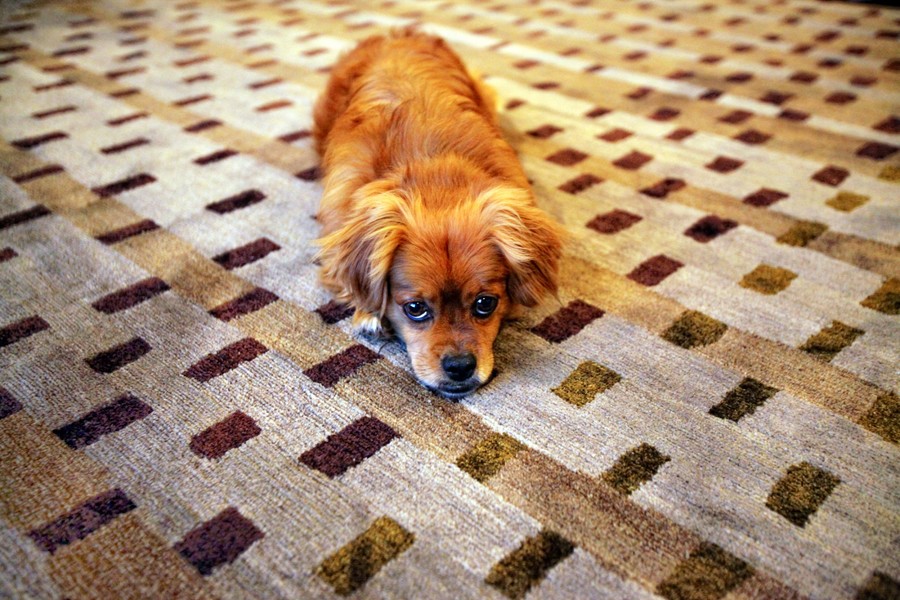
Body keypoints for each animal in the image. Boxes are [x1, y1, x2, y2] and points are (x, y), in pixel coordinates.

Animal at [312, 30, 560, 400]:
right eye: (415, 309)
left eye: (486, 303)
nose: (460, 366)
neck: (433, 169)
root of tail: (398, 34)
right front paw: (368, 314)